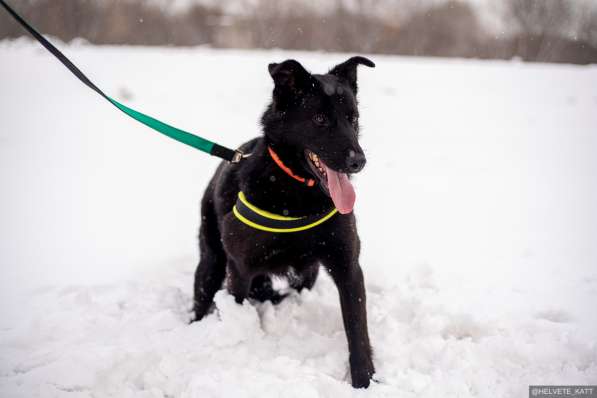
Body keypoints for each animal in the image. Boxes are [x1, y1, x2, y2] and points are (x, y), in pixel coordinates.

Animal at [193, 56, 374, 388]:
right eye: (319, 119)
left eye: (352, 118)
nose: (359, 161)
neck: (298, 192)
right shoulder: (239, 270)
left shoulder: (348, 266)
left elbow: (357, 332)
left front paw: (365, 382)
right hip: (211, 263)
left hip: (308, 274)